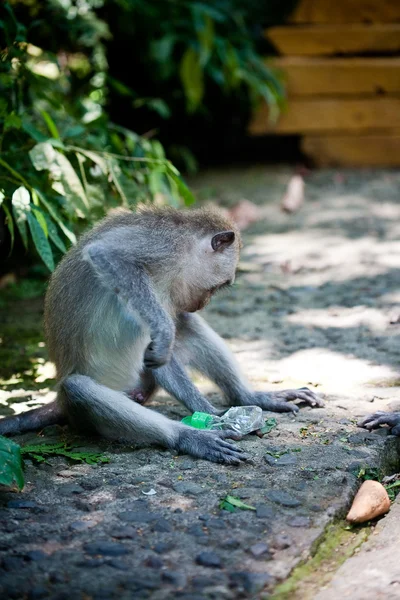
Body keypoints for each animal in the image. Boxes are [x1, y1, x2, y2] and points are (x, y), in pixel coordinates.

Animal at [0, 206, 324, 464]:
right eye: (219, 286)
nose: (203, 303)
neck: (182, 251)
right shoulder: (161, 247)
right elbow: (107, 254)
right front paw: (212, 422)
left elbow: (161, 353)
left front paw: (216, 415)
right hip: (82, 409)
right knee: (78, 389)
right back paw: (187, 437)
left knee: (185, 324)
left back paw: (248, 397)